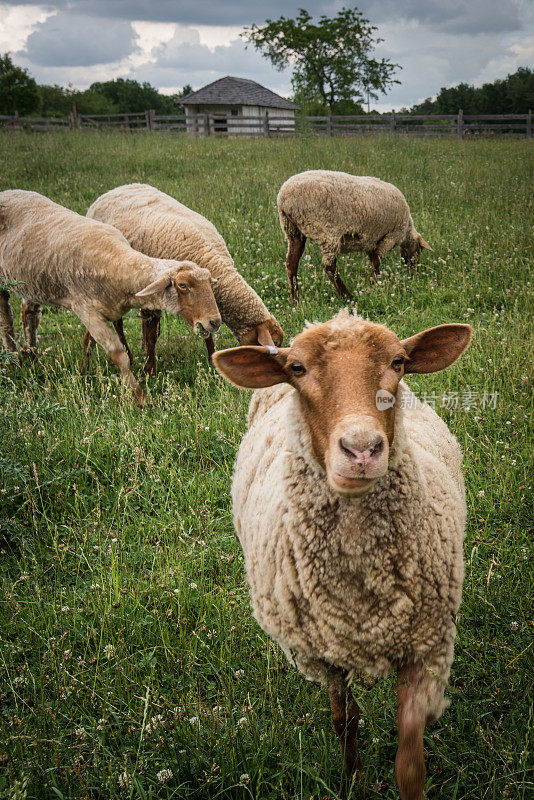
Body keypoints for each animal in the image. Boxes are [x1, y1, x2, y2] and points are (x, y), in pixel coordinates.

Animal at [0, 189, 222, 406]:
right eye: (182, 285)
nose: (215, 321)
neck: (117, 263)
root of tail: (8, 192)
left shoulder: (105, 310)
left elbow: (92, 340)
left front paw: (83, 370)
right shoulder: (86, 310)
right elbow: (118, 354)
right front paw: (139, 398)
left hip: (31, 281)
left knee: (29, 314)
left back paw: (31, 356)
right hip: (4, 283)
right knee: (6, 322)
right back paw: (14, 360)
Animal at [87, 182, 284, 372]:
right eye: (273, 345)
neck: (207, 256)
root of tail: (115, 190)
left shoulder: (204, 302)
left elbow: (207, 331)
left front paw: (213, 361)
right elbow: (152, 334)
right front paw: (149, 370)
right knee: (119, 323)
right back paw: (130, 355)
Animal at [214, 308, 474, 800]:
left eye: (398, 362)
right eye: (297, 368)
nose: (361, 450)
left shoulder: (425, 646)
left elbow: (409, 761)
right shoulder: (325, 653)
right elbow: (344, 720)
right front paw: (351, 777)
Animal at [278, 170, 434, 302]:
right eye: (419, 250)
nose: (413, 271)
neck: (407, 230)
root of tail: (284, 199)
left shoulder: (371, 240)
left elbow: (374, 260)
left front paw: (372, 282)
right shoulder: (388, 238)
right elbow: (377, 262)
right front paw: (373, 283)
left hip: (293, 231)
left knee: (291, 263)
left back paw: (295, 299)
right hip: (326, 232)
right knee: (329, 267)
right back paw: (347, 296)